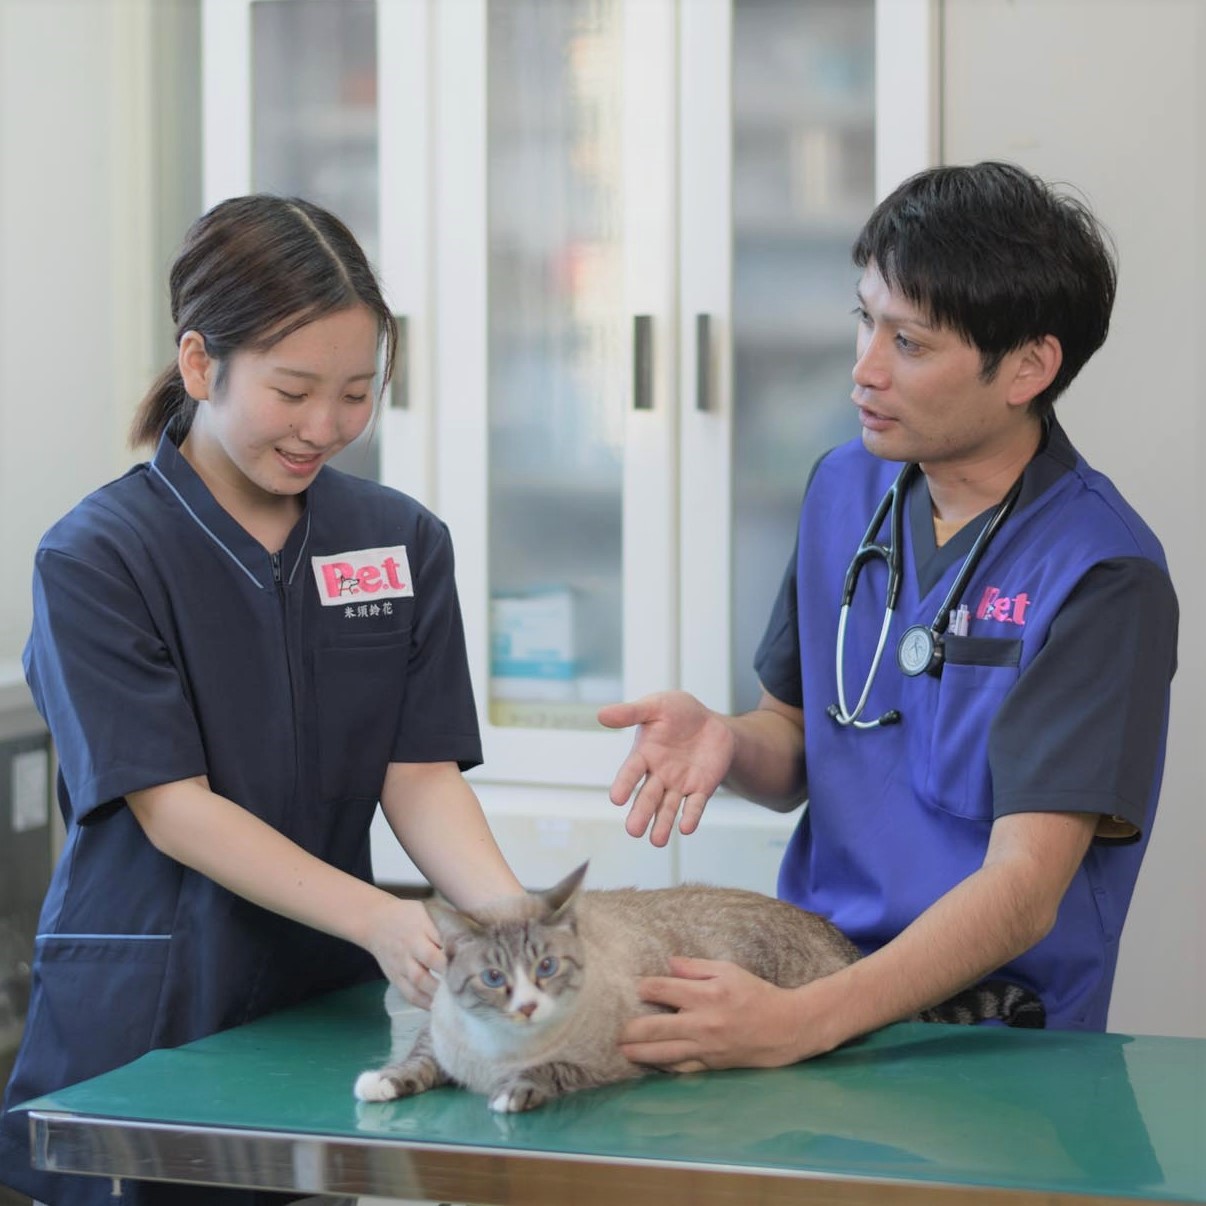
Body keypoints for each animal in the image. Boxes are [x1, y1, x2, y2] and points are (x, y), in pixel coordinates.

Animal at [352, 868, 1041, 1109]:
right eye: (493, 978)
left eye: (546, 968)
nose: (525, 1005)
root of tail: (843, 941)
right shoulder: (441, 1045)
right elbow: (415, 1062)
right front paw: (383, 1082)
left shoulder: (611, 1058)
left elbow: (548, 1074)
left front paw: (515, 1092)